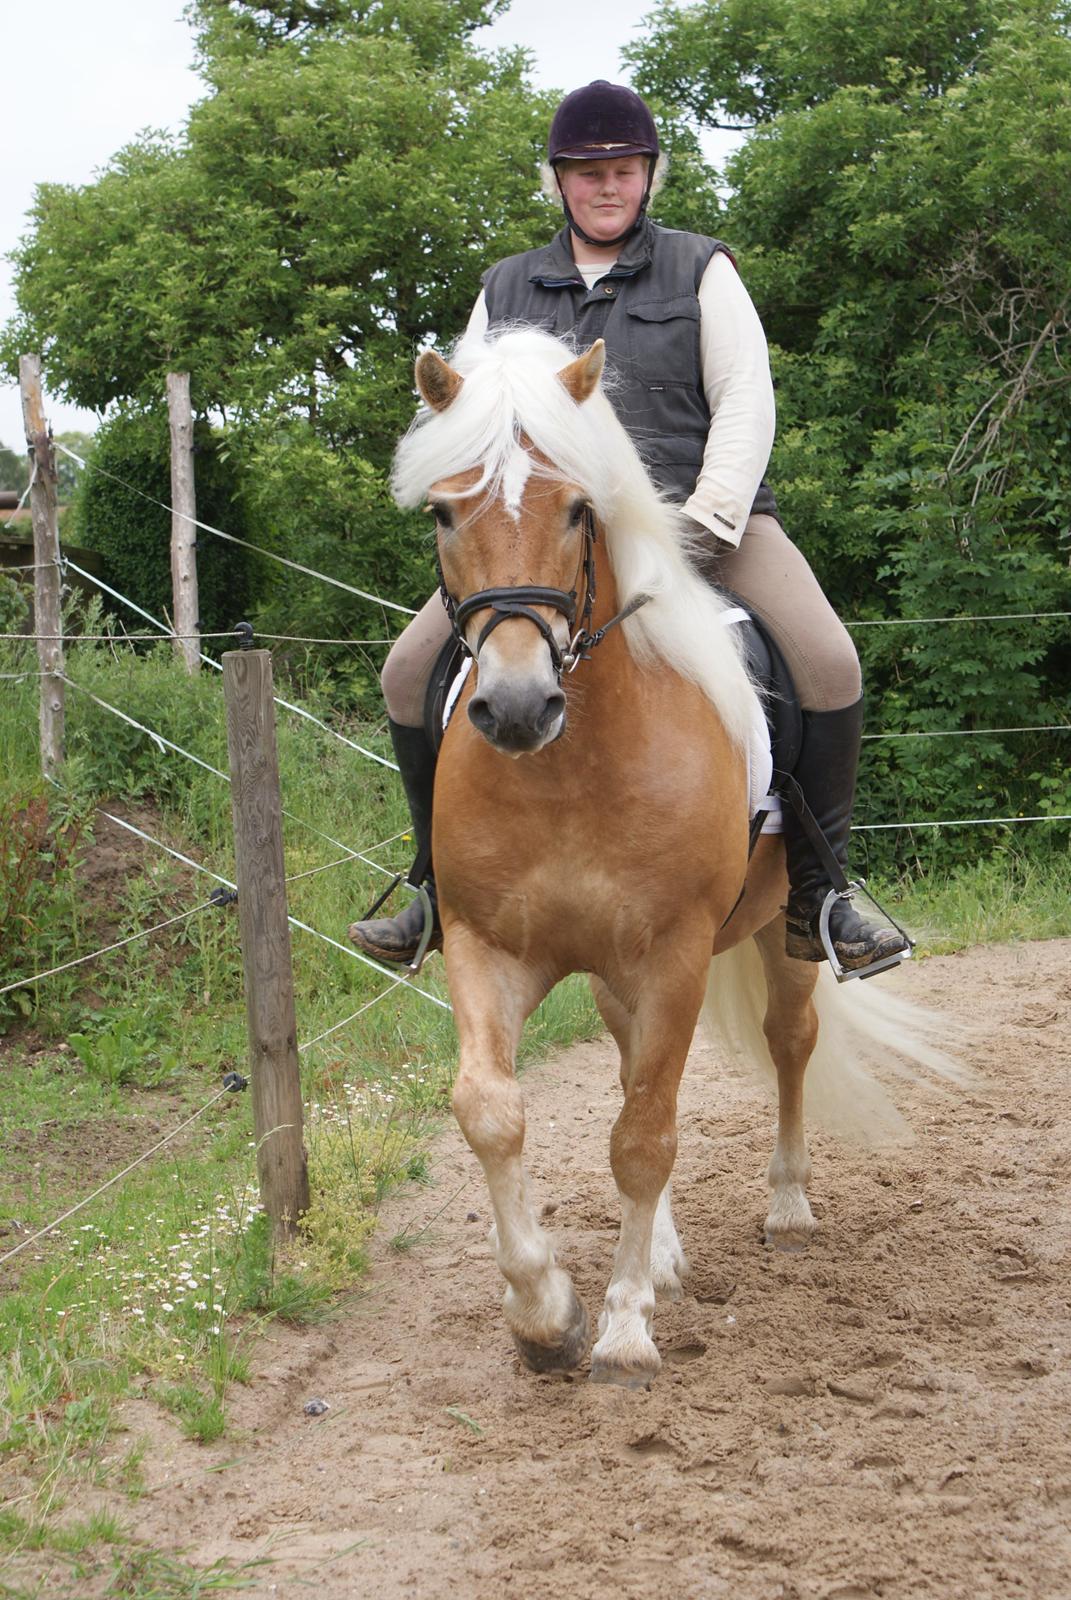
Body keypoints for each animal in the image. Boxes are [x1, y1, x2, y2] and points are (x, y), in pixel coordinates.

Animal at [390, 324, 954, 1388]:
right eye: (443, 512)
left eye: (579, 509)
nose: (516, 707)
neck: (570, 770)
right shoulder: (491, 949)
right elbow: (491, 1109)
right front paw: (545, 1314)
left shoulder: (675, 957)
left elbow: (644, 1139)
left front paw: (619, 1329)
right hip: (615, 973)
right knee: (628, 1070)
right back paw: (658, 1255)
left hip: (778, 937)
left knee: (786, 1043)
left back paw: (786, 1205)